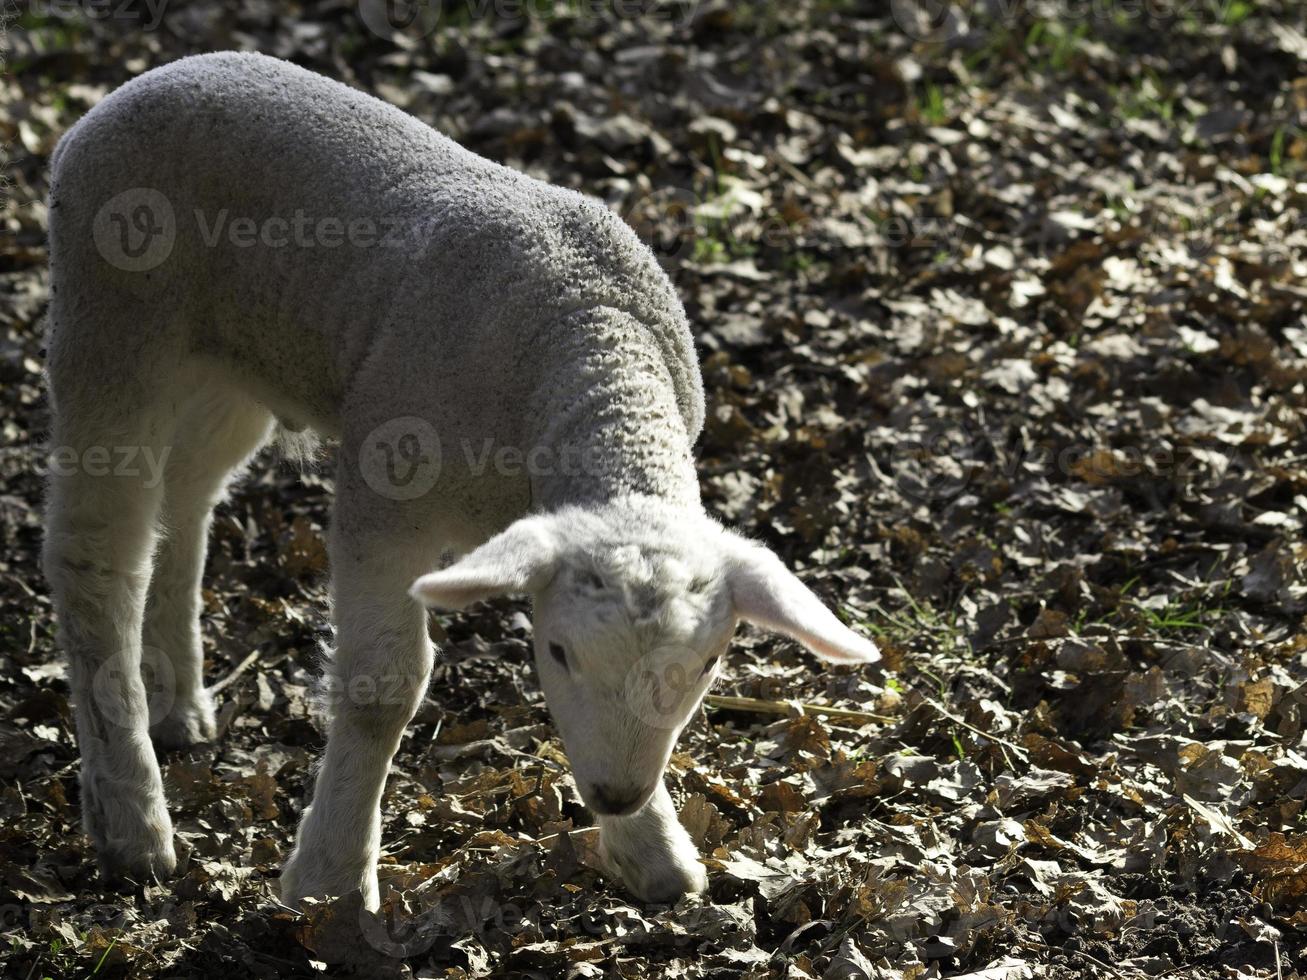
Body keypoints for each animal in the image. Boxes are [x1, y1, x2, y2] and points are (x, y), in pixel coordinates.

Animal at [43, 51, 878, 914]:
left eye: (710, 665)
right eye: (556, 651)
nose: (615, 794)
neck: (595, 346)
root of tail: (152, 79)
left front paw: (653, 854)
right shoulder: (386, 489)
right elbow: (381, 689)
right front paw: (328, 880)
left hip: (232, 365)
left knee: (184, 505)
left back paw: (177, 706)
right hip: (114, 323)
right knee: (96, 556)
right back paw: (132, 824)